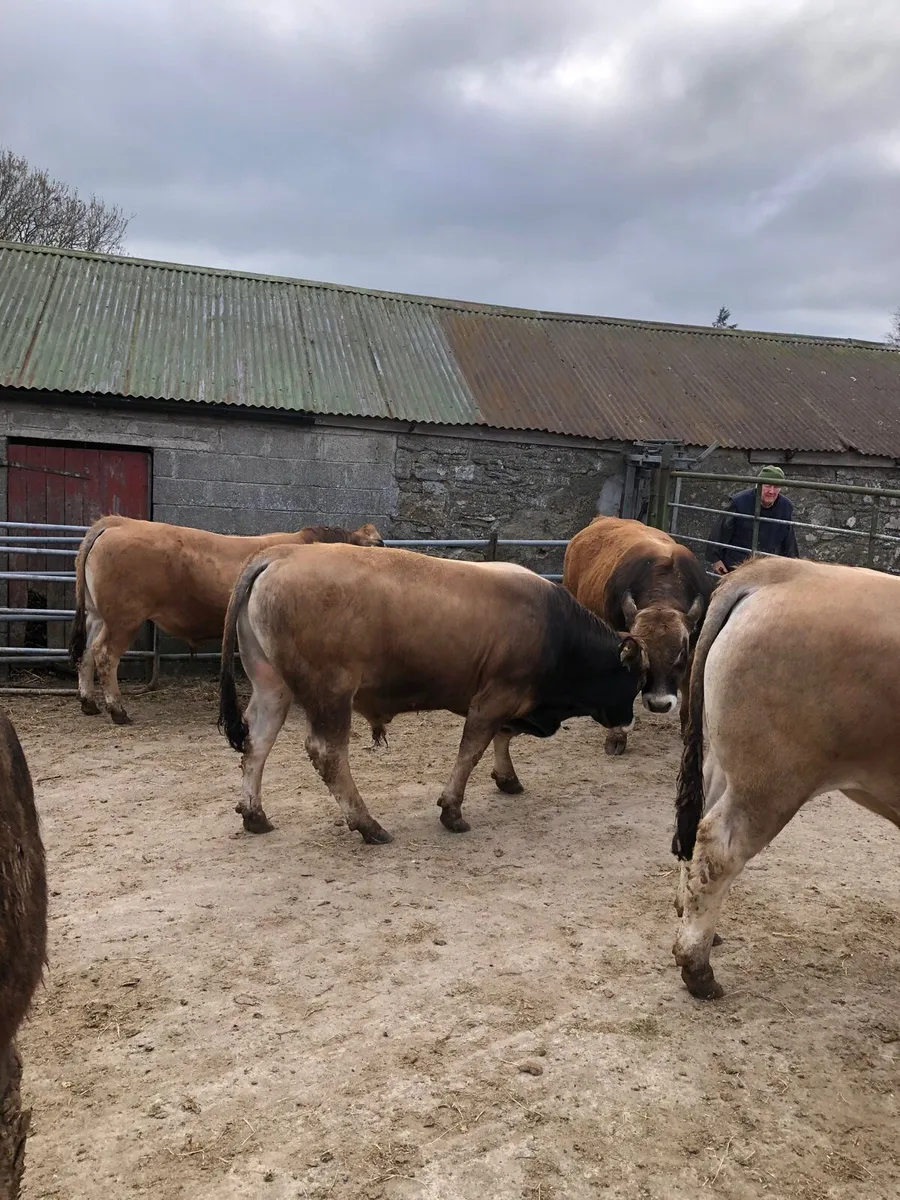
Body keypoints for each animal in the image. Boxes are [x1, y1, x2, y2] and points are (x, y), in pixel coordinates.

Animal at [68, 515, 384, 726]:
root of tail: (118, 522)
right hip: (123, 619)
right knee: (104, 655)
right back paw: (118, 711)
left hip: (97, 616)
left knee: (85, 654)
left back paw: (88, 704)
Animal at [217, 543, 647, 843]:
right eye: (636, 679)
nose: (628, 721)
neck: (556, 631)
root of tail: (280, 553)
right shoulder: (494, 697)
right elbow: (472, 750)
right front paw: (452, 810)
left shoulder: (509, 700)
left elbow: (504, 737)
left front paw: (507, 778)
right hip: (331, 693)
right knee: (328, 753)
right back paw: (367, 824)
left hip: (271, 686)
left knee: (257, 741)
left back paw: (255, 815)